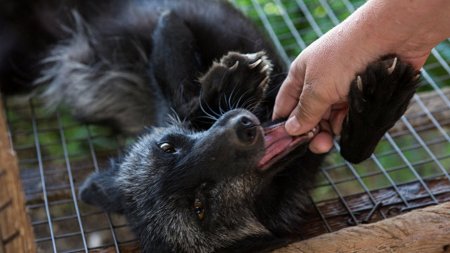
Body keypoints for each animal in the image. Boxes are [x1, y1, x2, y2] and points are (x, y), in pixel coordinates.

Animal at [0, 0, 418, 252]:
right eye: (200, 205)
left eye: (168, 148)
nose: (244, 127)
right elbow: (354, 152)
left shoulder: (171, 23)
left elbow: (177, 70)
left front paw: (227, 83)